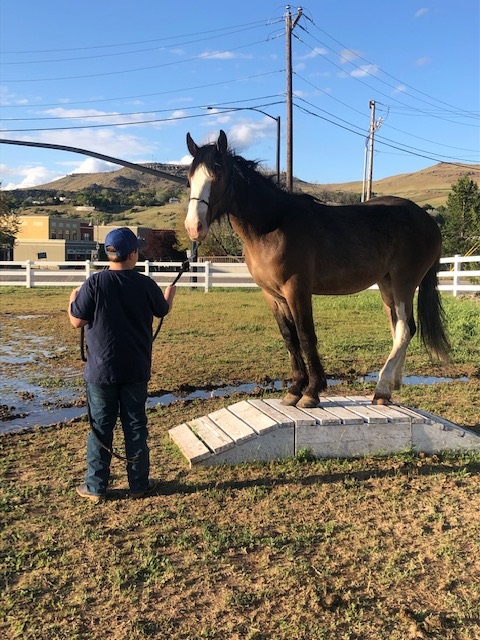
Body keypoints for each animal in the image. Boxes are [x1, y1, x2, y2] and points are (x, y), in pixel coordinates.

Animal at [184, 130, 450, 408]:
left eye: (218, 175)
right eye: (189, 180)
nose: (194, 227)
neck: (273, 224)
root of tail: (428, 221)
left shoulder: (297, 289)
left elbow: (305, 335)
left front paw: (312, 391)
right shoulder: (273, 295)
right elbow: (289, 337)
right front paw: (295, 389)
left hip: (403, 282)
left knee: (405, 329)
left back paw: (382, 386)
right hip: (386, 284)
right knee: (401, 327)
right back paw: (391, 386)